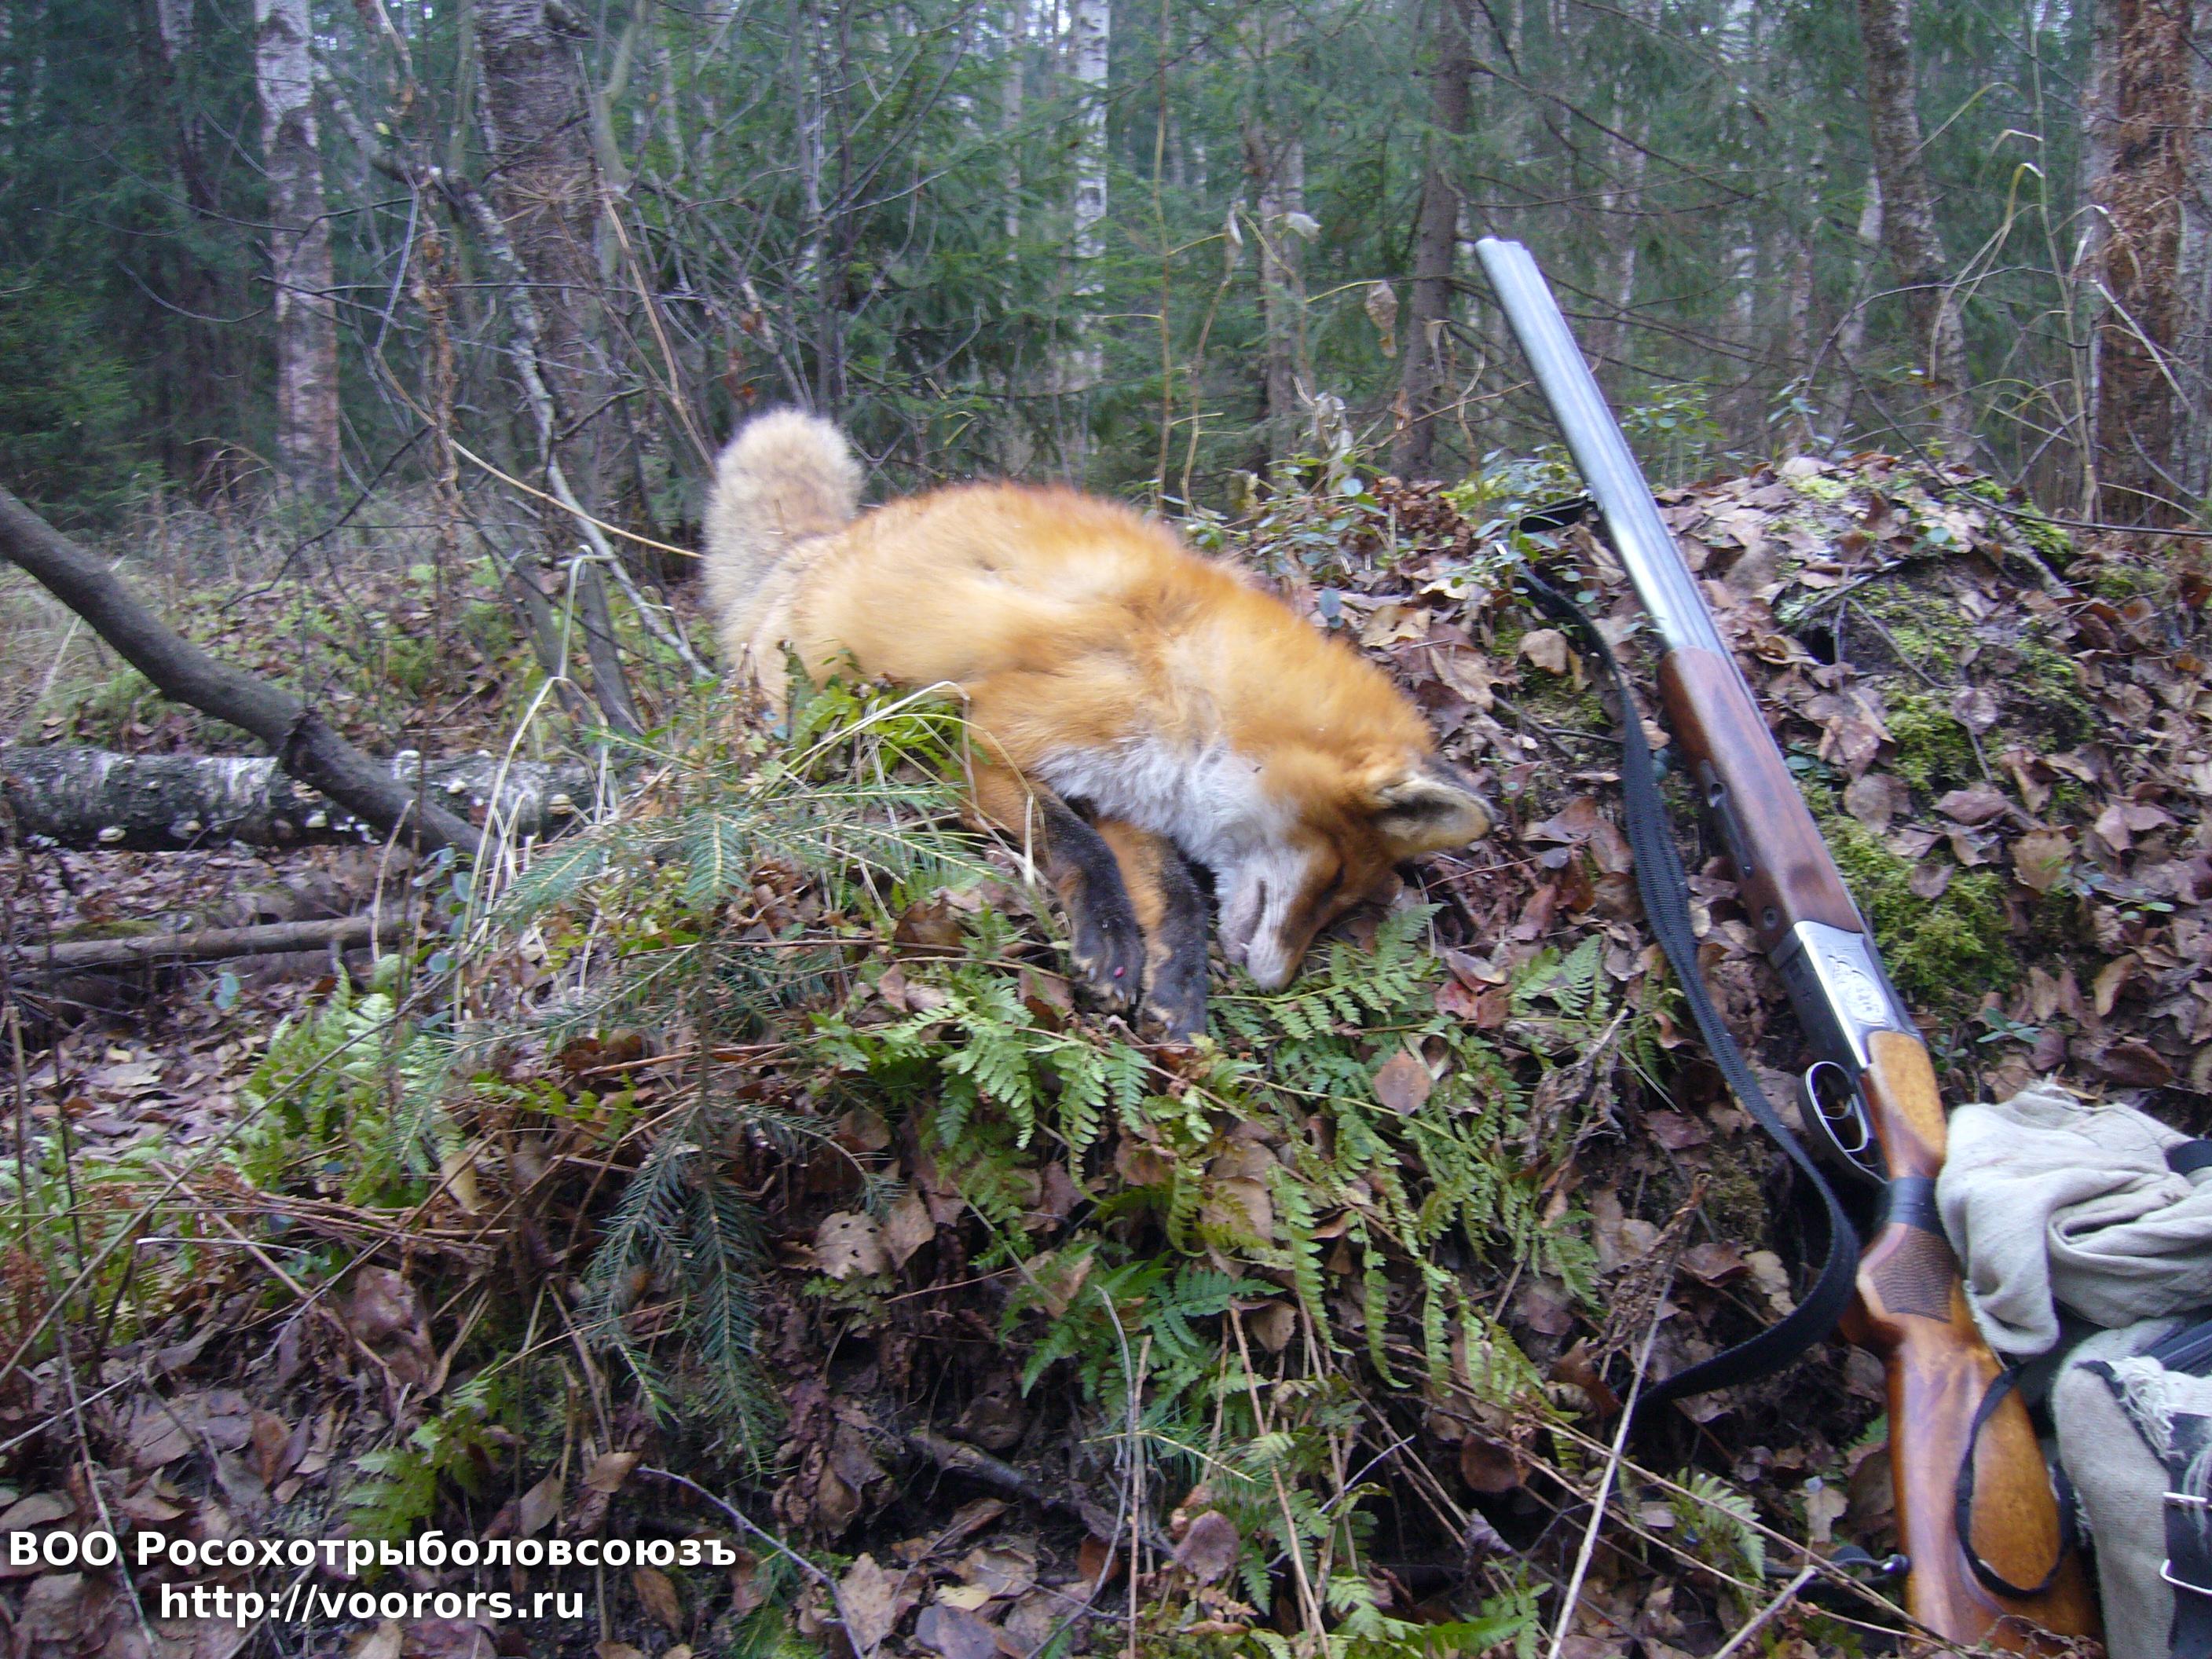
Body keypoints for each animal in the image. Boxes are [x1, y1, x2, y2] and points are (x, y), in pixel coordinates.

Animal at [701, 408, 1492, 1036]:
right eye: (1333, 884)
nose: (1275, 985)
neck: (1200, 687)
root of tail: (818, 545)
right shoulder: (973, 735)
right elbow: (1075, 842)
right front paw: (1111, 942)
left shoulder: (1134, 786)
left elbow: (1175, 892)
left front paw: (1177, 987)